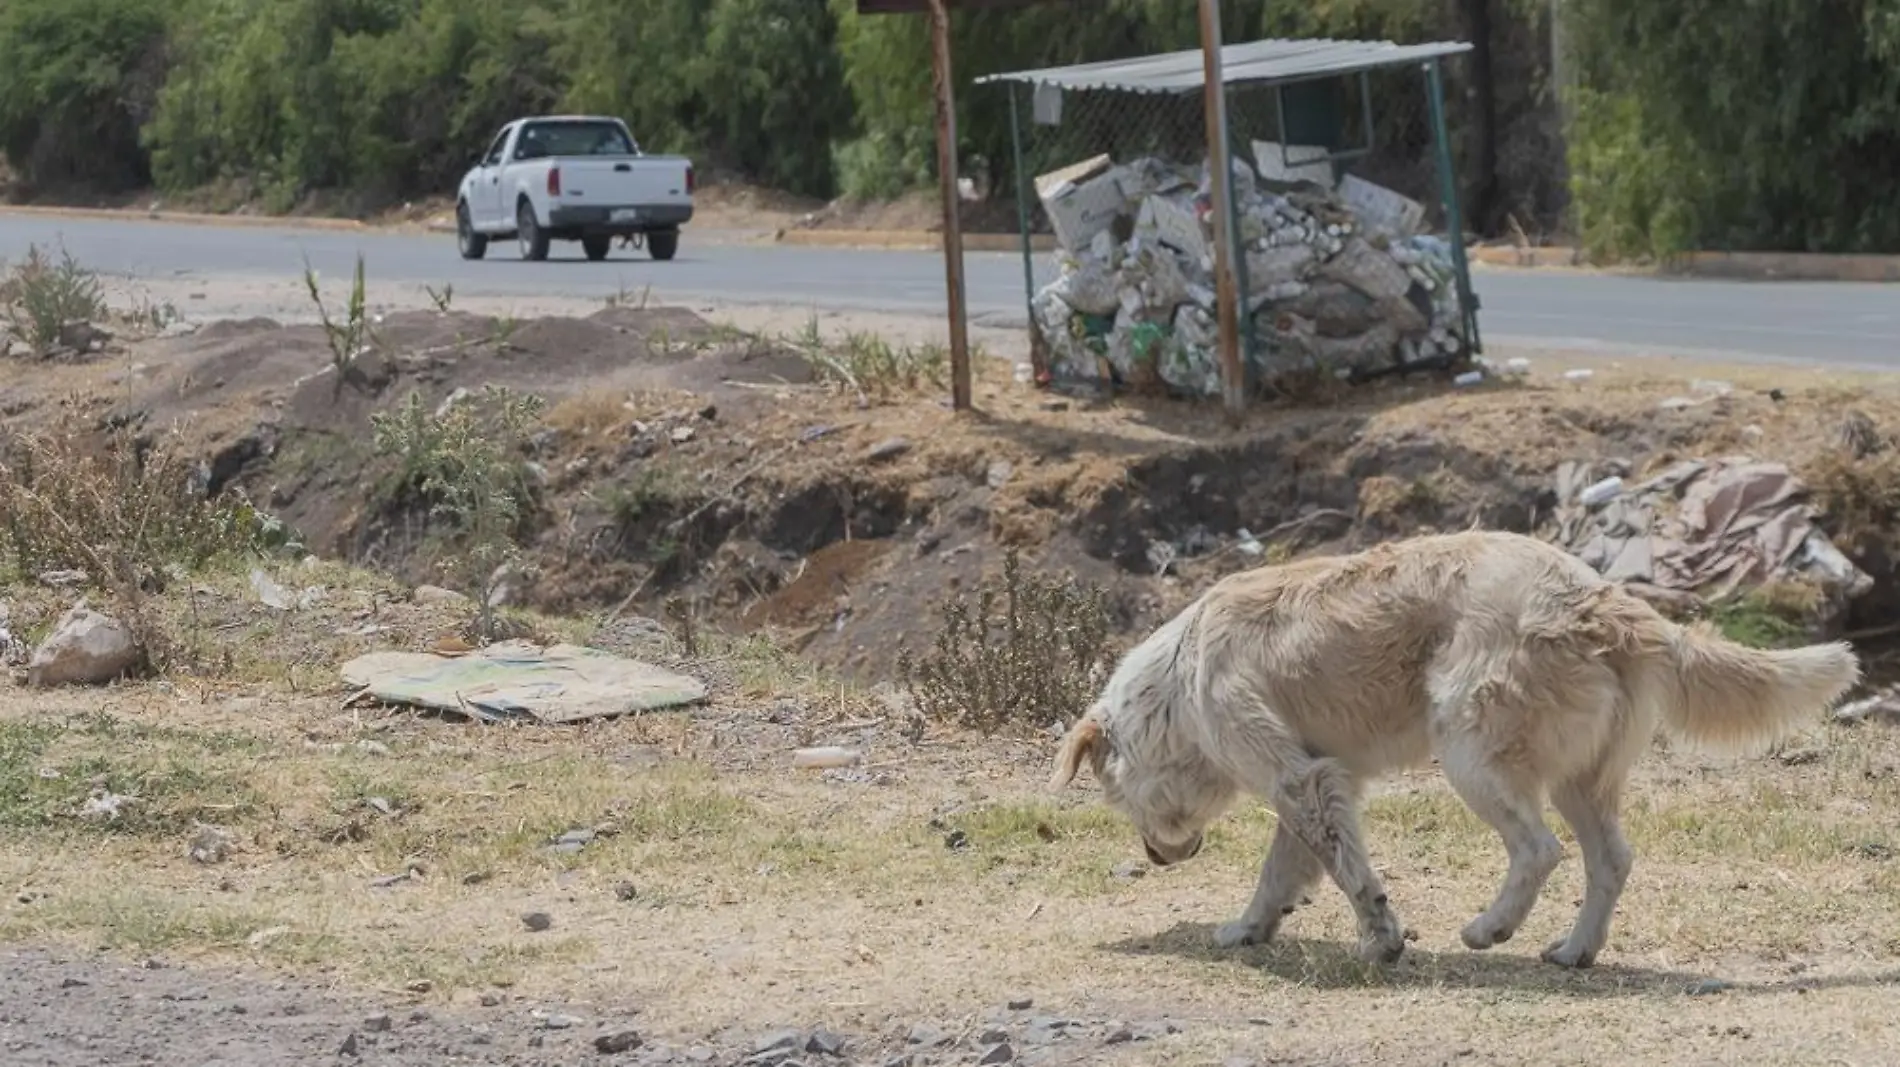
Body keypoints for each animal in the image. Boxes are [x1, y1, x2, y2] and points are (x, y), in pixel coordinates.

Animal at [1048, 527, 1862, 964]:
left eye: (1117, 798)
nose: (1156, 857)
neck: (1177, 682)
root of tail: (1609, 599)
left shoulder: (1302, 780)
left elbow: (1350, 874)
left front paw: (1381, 940)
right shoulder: (1312, 782)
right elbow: (1282, 872)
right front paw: (1252, 928)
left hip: (1472, 753)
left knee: (1539, 849)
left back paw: (1491, 927)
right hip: (1579, 780)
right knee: (1610, 859)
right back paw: (1575, 949)